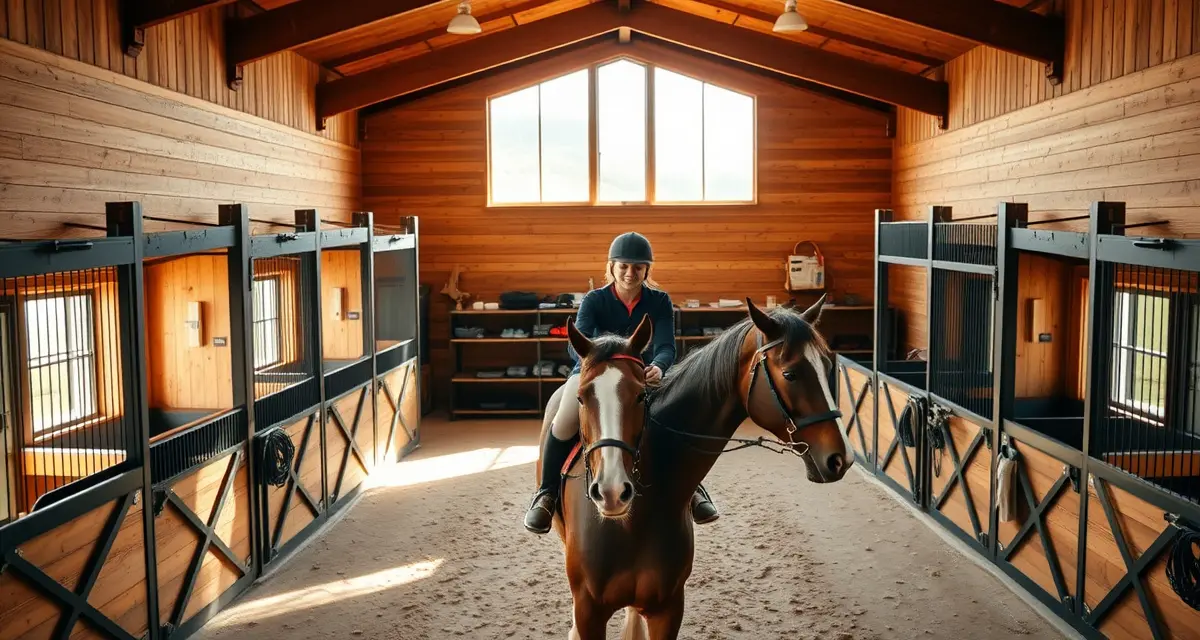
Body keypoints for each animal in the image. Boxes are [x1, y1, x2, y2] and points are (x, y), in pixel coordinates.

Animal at [534, 295, 852, 639]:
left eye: (641, 396)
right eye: (791, 374)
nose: (841, 458)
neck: (631, 521)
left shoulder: (668, 607)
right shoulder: (589, 611)